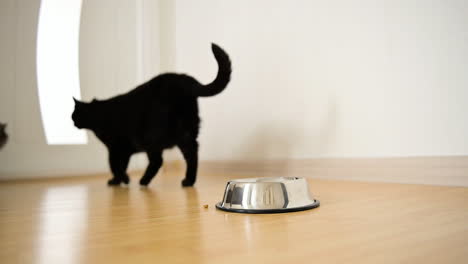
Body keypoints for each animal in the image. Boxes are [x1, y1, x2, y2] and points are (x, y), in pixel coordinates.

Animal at [72, 42, 231, 186]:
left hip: (153, 136)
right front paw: (121, 180)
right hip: (185, 133)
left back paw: (144, 181)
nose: (73, 123)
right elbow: (121, 166)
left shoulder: (116, 147)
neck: (99, 114)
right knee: (191, 154)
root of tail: (185, 80)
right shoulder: (124, 150)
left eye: (74, 116)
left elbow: (115, 166)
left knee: (158, 161)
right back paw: (188, 181)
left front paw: (120, 180)